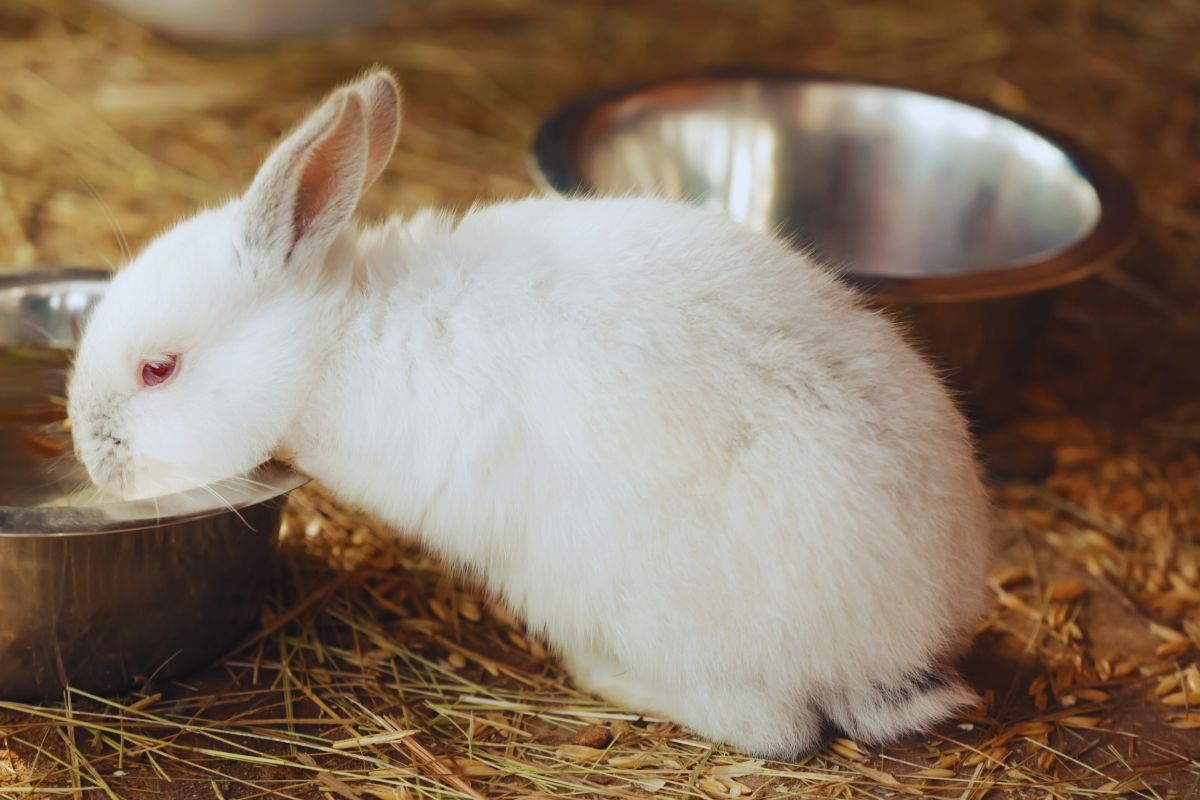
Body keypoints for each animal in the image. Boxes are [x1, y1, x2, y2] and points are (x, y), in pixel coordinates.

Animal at [65, 70, 988, 758]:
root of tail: (910, 636)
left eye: (158, 369)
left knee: (776, 729)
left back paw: (606, 677)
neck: (331, 340)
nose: (93, 458)